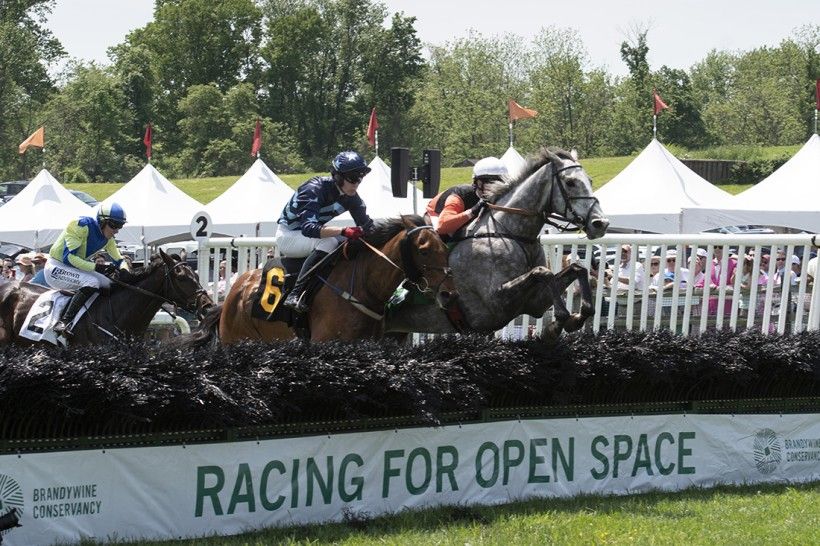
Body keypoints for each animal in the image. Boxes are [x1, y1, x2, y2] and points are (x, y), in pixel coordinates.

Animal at [186, 214, 458, 344]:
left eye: (445, 247)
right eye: (424, 250)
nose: (449, 293)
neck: (363, 286)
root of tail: (233, 293)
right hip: (236, 341)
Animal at [384, 147, 608, 338]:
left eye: (589, 181)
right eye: (570, 182)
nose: (600, 224)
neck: (511, 234)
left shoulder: (533, 302)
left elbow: (577, 268)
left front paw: (574, 319)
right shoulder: (495, 304)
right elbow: (542, 272)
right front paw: (557, 324)